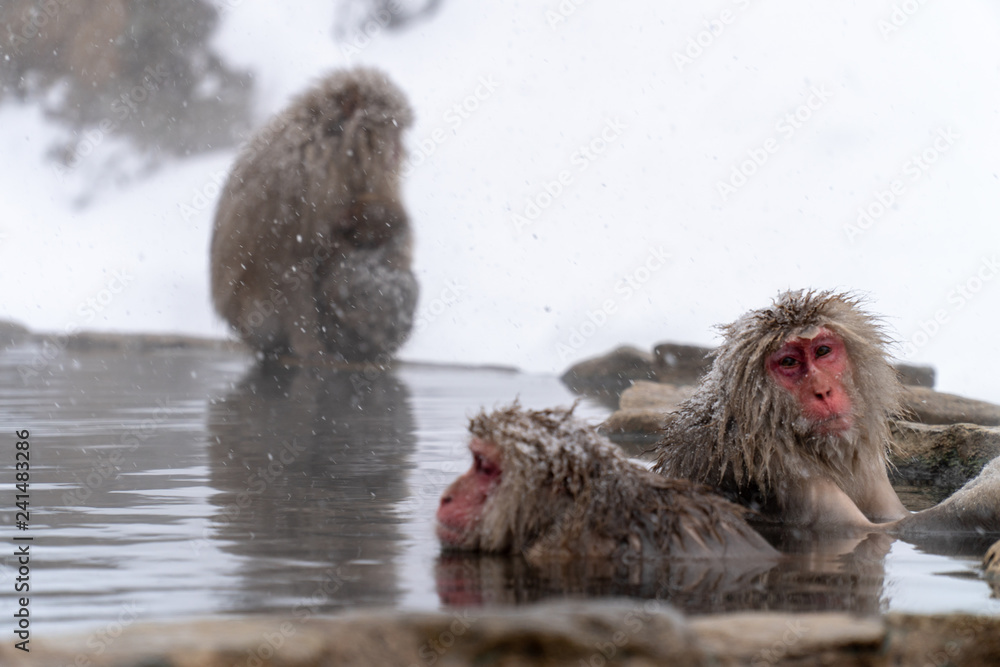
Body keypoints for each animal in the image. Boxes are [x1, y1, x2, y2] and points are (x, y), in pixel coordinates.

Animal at [210, 66, 417, 363]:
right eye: (391, 128)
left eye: (399, 130)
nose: (399, 150)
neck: (335, 140)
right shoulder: (304, 176)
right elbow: (290, 263)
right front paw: (311, 347)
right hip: (255, 315)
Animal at [652, 289, 1000, 536]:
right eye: (789, 362)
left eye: (822, 351)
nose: (823, 390)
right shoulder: (786, 476)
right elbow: (877, 532)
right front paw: (988, 494)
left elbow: (894, 516)